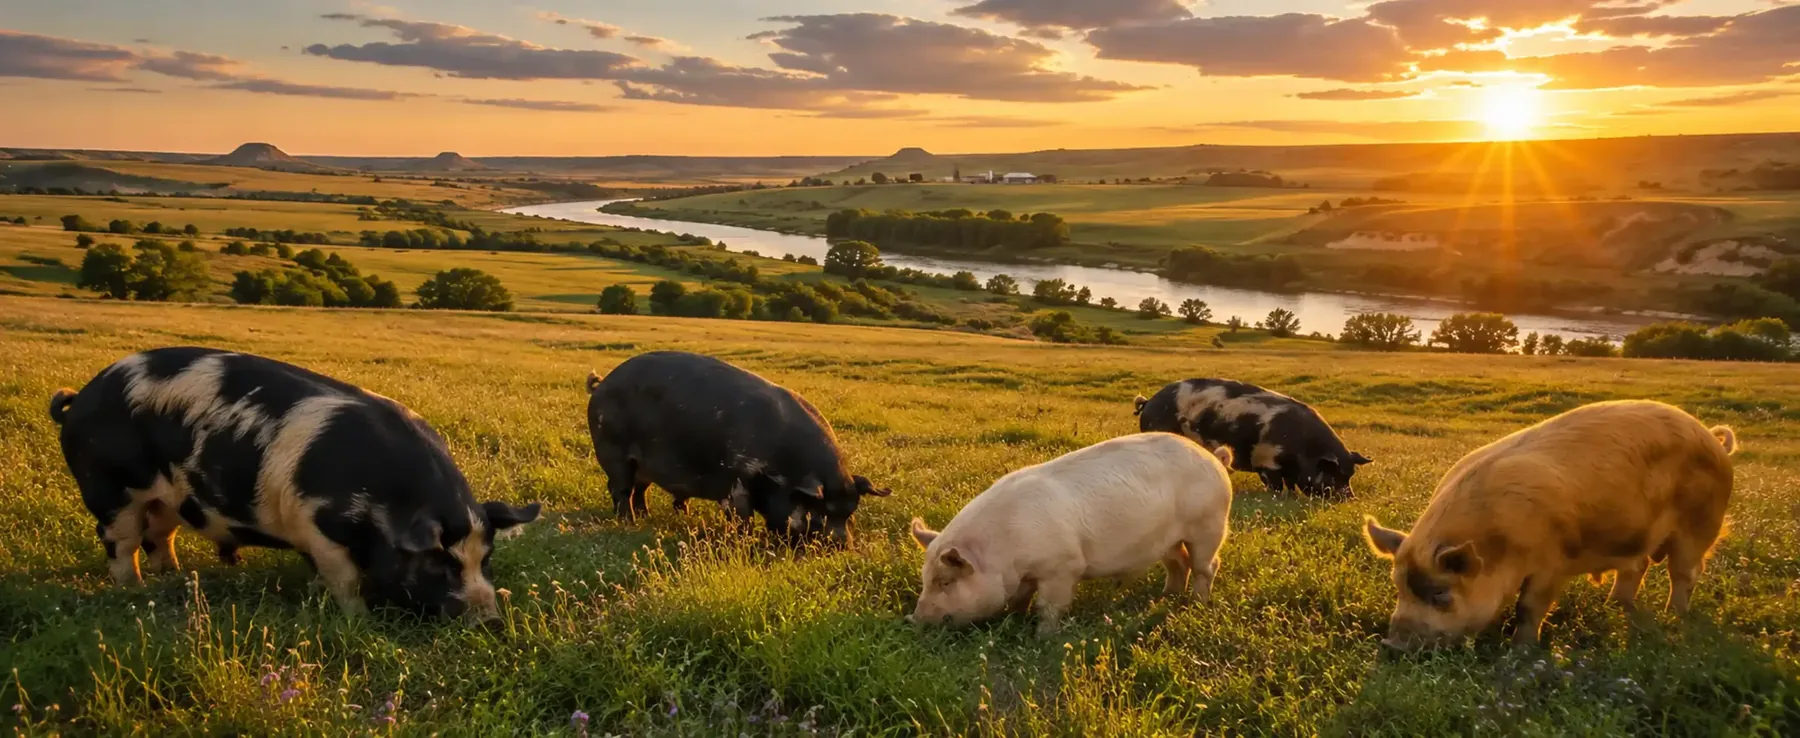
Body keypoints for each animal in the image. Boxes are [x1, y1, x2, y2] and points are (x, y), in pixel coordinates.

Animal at [49, 347, 541, 621]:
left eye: (486, 558)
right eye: (439, 562)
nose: (490, 621)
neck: (387, 503)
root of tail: (81, 398)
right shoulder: (317, 525)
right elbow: (346, 579)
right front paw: (359, 620)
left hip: (167, 498)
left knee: (160, 535)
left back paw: (171, 577)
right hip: (109, 489)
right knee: (120, 541)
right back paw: (132, 591)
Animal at [586, 350, 890, 545]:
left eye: (850, 513)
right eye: (819, 514)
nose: (843, 545)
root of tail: (601, 385)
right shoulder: (737, 477)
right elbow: (742, 516)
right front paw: (745, 539)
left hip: (644, 466)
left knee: (640, 490)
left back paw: (649, 516)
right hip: (613, 452)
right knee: (620, 489)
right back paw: (629, 522)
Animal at [908, 432, 1234, 634]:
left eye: (946, 581)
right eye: (925, 579)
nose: (913, 619)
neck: (1005, 552)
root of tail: (1215, 459)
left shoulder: (1063, 566)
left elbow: (1050, 605)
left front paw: (1043, 636)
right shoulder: (1027, 574)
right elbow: (1019, 599)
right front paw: (1013, 620)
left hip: (1209, 525)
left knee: (1207, 565)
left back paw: (1196, 603)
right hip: (1168, 540)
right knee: (1179, 563)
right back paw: (1166, 596)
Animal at [1135, 378, 1370, 497]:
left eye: (1350, 475)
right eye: (1334, 475)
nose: (1350, 498)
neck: (1303, 449)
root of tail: (1149, 402)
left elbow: (1290, 484)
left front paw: (1291, 495)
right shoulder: (1266, 461)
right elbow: (1275, 484)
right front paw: (1277, 497)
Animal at [1363, 400, 1738, 650]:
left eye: (1440, 593)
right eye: (1399, 586)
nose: (1391, 646)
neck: (1499, 542)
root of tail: (1713, 439)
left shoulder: (1551, 561)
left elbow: (1529, 606)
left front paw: (1522, 651)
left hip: (1703, 522)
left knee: (1686, 573)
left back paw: (1675, 617)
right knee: (1637, 565)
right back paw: (1616, 607)